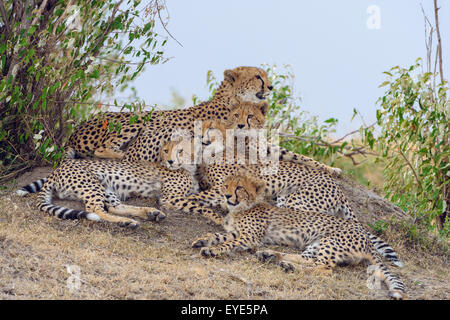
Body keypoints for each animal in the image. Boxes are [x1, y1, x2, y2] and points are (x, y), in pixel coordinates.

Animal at [192, 174, 406, 298]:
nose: (227, 196)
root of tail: (364, 234)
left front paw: (212, 250)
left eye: (239, 188)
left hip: (330, 242)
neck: (241, 208)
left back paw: (288, 265)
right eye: (225, 186)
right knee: (308, 260)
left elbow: (227, 244)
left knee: (325, 269)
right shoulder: (237, 232)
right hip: (316, 244)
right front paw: (203, 239)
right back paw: (273, 256)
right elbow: (218, 235)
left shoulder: (249, 237)